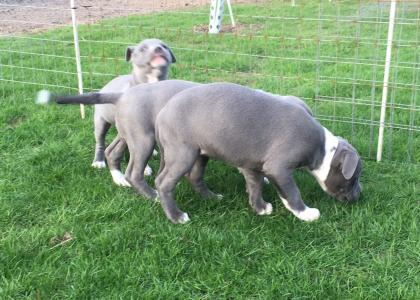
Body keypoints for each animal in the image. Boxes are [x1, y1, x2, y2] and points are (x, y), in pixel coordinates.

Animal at [91, 38, 176, 176]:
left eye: (164, 46)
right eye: (142, 49)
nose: (158, 48)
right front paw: (145, 168)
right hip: (100, 120)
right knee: (100, 141)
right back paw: (98, 161)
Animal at [154, 83, 360, 224]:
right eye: (355, 177)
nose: (360, 195)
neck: (322, 149)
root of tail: (162, 113)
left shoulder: (252, 163)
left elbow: (256, 185)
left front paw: (259, 208)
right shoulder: (278, 168)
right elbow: (292, 192)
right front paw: (305, 213)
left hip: (200, 153)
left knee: (195, 177)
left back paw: (211, 197)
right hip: (182, 153)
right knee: (163, 183)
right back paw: (176, 216)